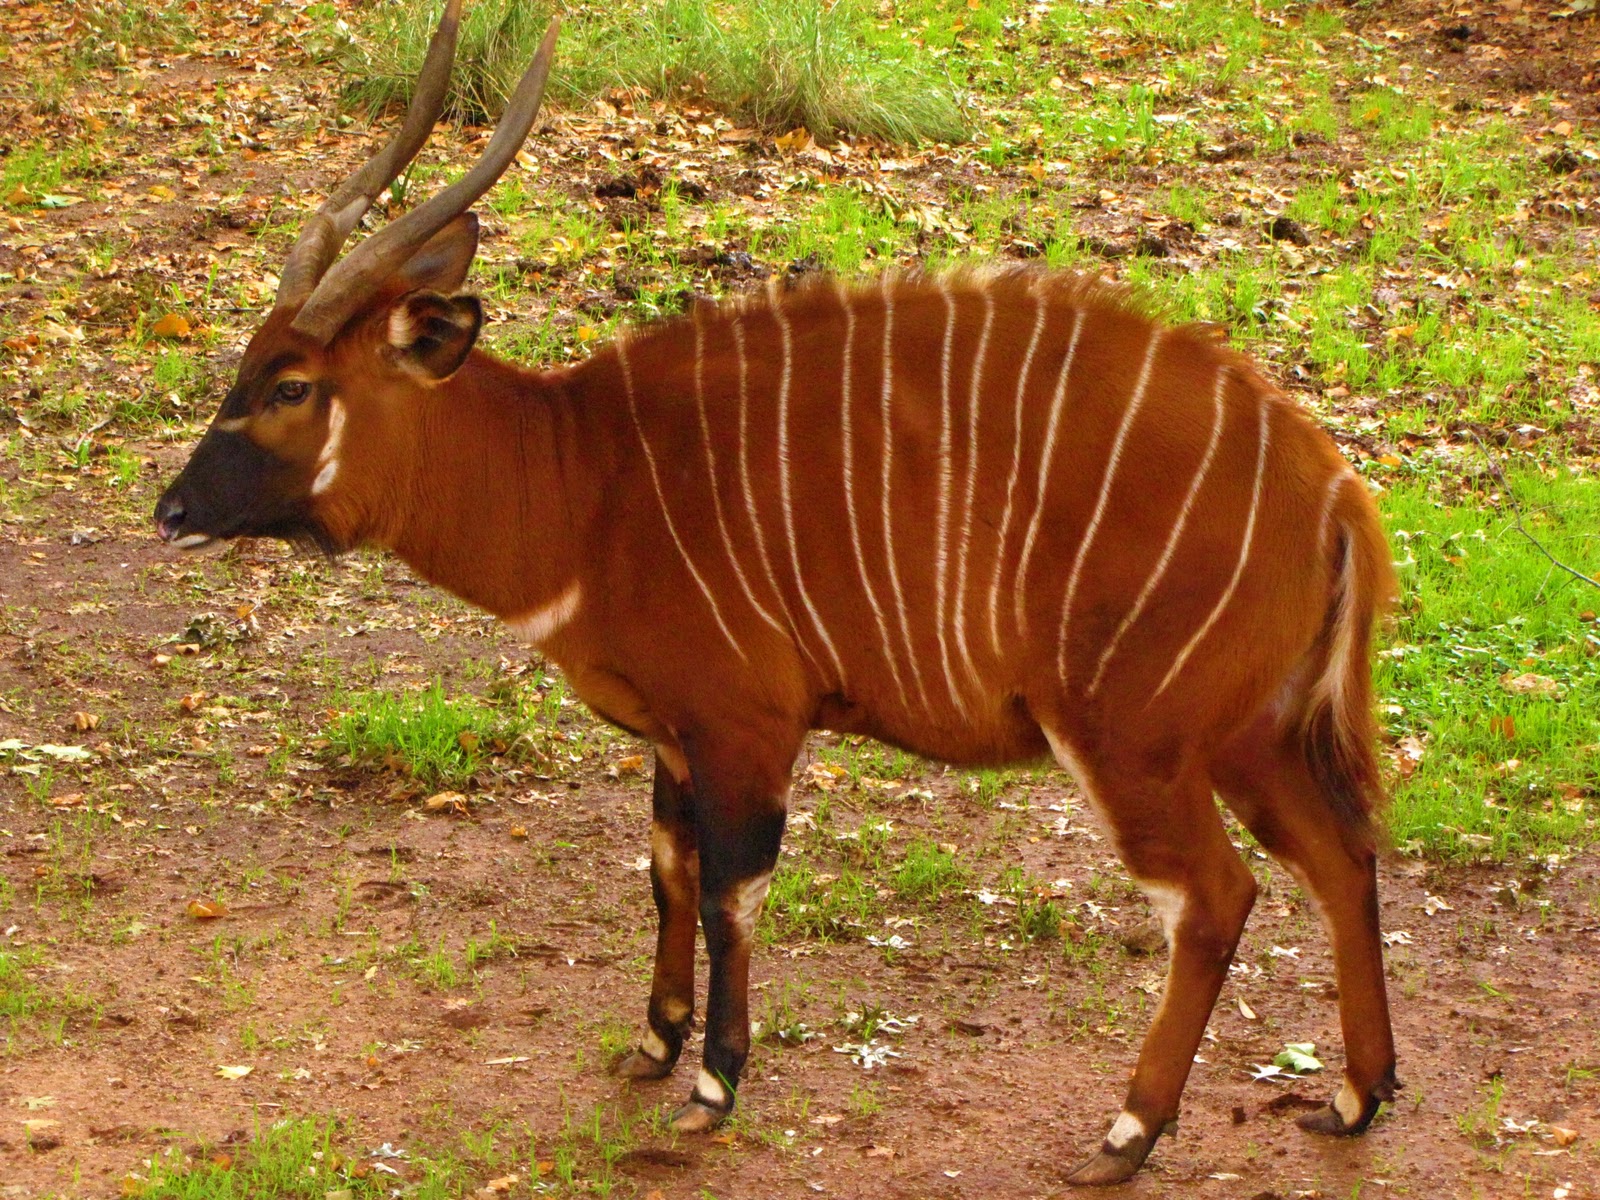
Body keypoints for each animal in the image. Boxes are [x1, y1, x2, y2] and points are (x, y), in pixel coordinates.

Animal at [153, 3, 1398, 1186]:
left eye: (291, 385)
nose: (171, 510)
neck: (585, 480)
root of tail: (1332, 488)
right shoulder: (674, 734)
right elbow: (665, 873)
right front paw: (651, 1046)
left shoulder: (746, 725)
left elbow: (729, 893)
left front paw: (713, 1085)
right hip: (1245, 734)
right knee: (1339, 853)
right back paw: (1354, 1098)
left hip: (1132, 737)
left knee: (1216, 895)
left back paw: (1127, 1134)